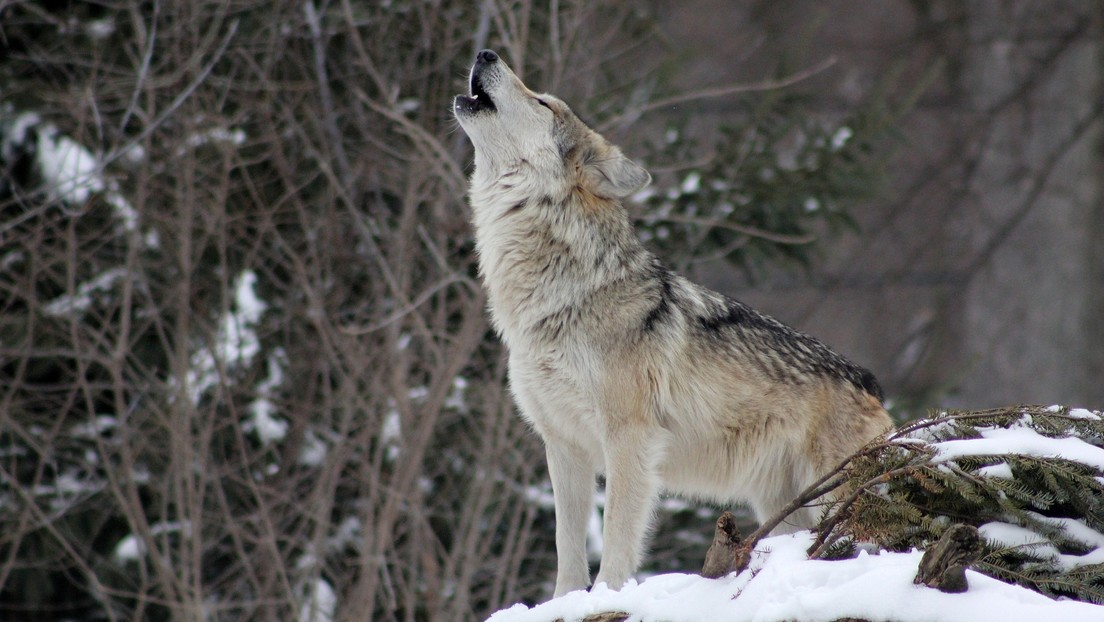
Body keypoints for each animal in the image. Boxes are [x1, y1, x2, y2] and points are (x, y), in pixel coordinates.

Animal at [454, 49, 893, 596]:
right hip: (784, 508)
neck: (561, 295)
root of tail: (871, 383)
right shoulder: (564, 445)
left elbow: (617, 536)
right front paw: (565, 602)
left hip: (835, 497)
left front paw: (608, 596)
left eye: (543, 102)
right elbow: (567, 548)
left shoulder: (630, 438)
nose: (485, 53)